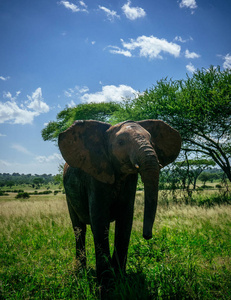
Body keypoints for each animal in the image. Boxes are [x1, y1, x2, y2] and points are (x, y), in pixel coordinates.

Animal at [57, 119, 180, 286]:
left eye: (151, 140)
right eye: (121, 142)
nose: (147, 236)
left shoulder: (130, 182)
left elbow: (125, 219)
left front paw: (120, 277)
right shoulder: (95, 177)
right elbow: (99, 219)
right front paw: (106, 282)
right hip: (69, 197)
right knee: (79, 229)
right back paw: (80, 272)